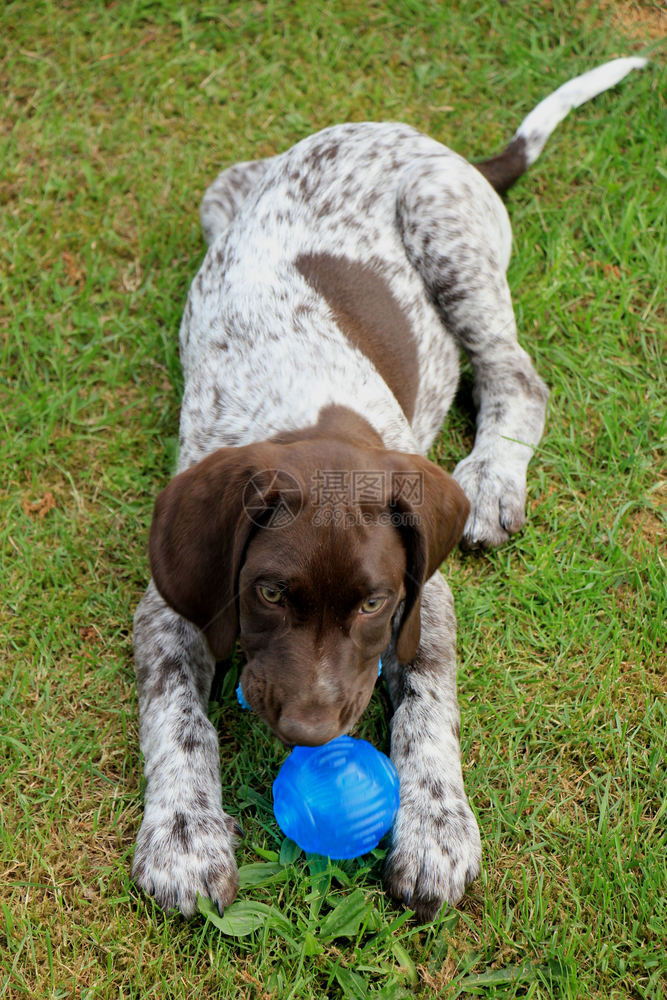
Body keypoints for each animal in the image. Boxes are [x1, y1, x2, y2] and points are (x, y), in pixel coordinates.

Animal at [132, 58, 648, 920]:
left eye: (373, 603)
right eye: (268, 594)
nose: (311, 732)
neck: (310, 414)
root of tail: (438, 146)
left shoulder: (424, 597)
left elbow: (428, 711)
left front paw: (436, 829)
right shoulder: (169, 604)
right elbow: (176, 719)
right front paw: (183, 834)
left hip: (443, 226)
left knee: (515, 374)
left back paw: (493, 478)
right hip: (225, 191)